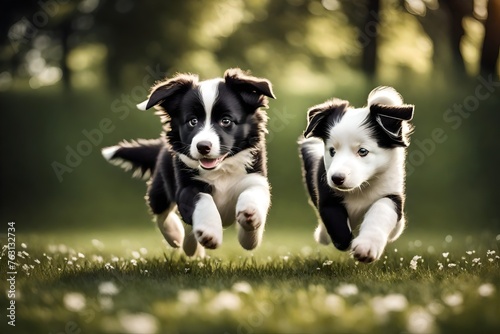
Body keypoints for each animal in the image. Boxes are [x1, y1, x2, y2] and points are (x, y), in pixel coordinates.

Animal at [100, 68, 276, 256]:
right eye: (193, 121)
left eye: (226, 120)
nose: (203, 146)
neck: (220, 170)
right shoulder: (187, 186)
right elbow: (201, 198)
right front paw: (209, 231)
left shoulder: (254, 176)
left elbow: (253, 193)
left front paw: (250, 220)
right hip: (161, 185)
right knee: (161, 212)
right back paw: (177, 236)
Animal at [300, 87, 414, 264]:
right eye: (332, 151)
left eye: (363, 151)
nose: (337, 178)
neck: (361, 188)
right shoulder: (326, 192)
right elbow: (334, 218)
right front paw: (345, 241)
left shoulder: (391, 193)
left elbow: (382, 210)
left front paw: (367, 247)